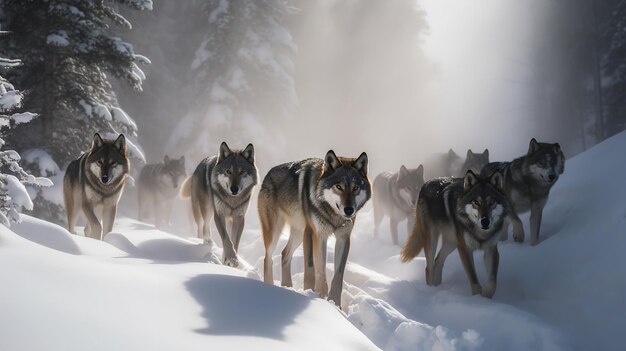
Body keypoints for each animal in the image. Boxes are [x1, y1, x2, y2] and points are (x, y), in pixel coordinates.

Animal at [260, 151, 370, 308]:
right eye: (339, 187)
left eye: (355, 188)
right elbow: (314, 268)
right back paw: (269, 286)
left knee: (284, 253)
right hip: (276, 233)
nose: (349, 210)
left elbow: (338, 275)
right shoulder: (315, 234)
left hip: (298, 234)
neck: (333, 216)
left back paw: (287, 287)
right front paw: (315, 295)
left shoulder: (343, 239)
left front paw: (335, 304)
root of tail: (268, 173)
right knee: (267, 258)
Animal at [400, 170, 508, 300]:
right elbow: (474, 280)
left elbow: (492, 283)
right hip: (433, 240)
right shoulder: (465, 249)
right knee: (429, 267)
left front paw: (486, 298)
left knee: (438, 261)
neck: (480, 232)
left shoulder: (491, 249)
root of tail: (425, 184)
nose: (485, 221)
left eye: (491, 202)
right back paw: (430, 291)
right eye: (476, 202)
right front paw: (478, 299)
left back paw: (437, 288)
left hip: (452, 243)